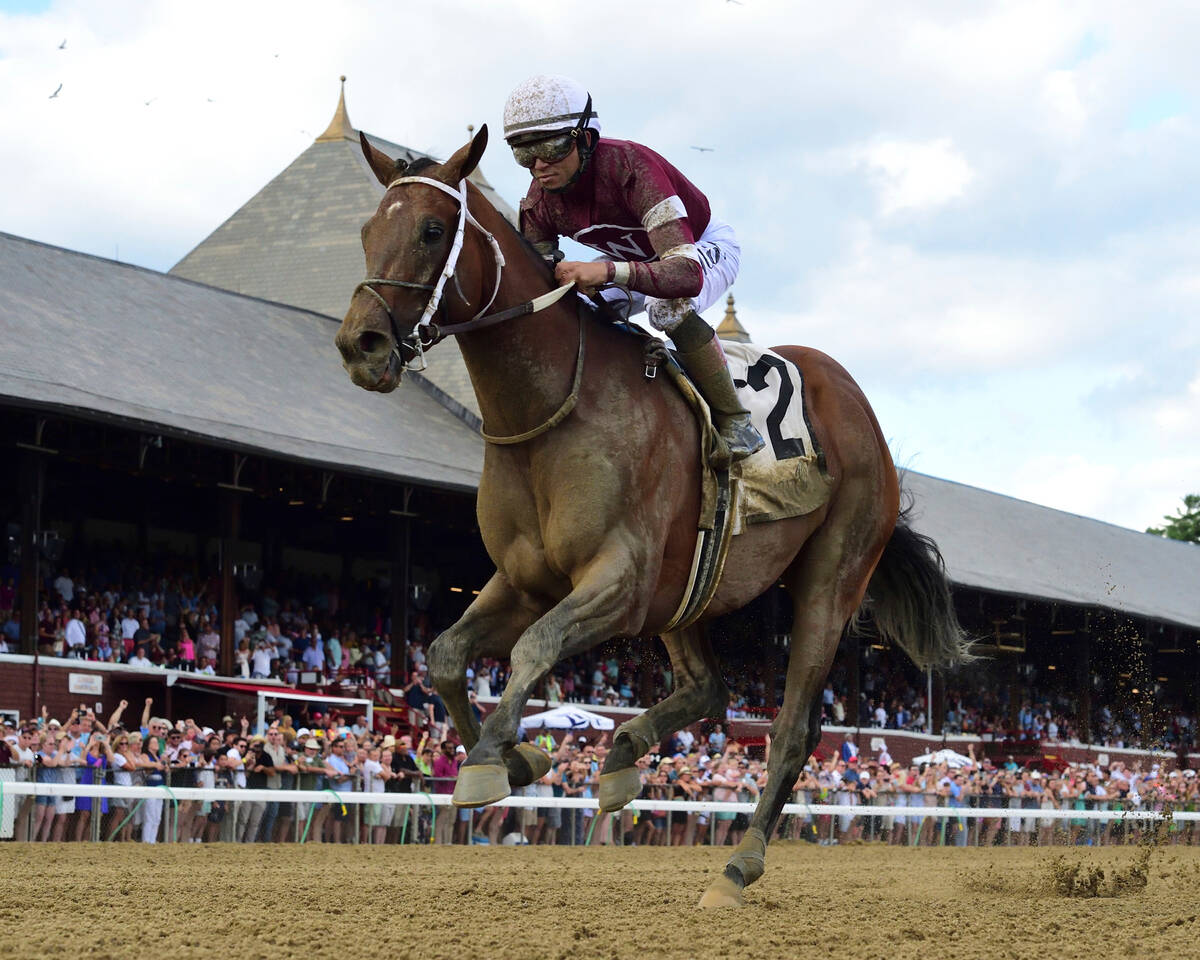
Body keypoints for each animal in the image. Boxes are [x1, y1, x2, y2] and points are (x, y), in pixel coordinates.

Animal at [333, 127, 969, 907]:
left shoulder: (621, 580)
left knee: (792, 728)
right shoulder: (525, 579)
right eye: (368, 231)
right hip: (690, 587)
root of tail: (855, 403)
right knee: (710, 686)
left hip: (829, 580)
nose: (360, 345)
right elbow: (448, 654)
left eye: (429, 230)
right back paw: (623, 756)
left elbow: (535, 647)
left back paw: (737, 865)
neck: (555, 409)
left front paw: (489, 756)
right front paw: (520, 759)